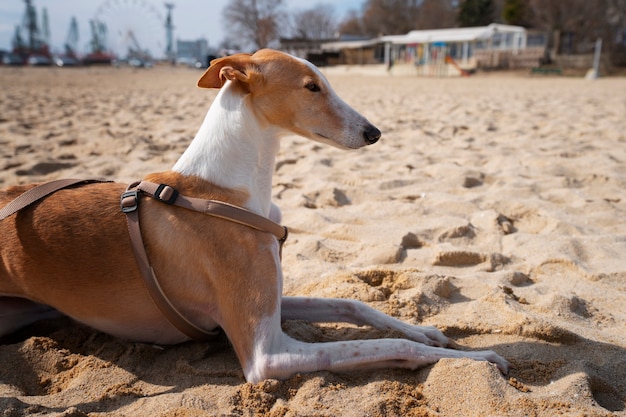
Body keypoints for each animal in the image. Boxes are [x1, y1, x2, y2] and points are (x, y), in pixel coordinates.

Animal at [0, 48, 508, 380]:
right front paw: (479, 360)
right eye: (311, 87)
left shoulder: (275, 300)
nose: (374, 132)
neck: (226, 189)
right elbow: (392, 345)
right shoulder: (267, 354)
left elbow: (356, 303)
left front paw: (428, 331)